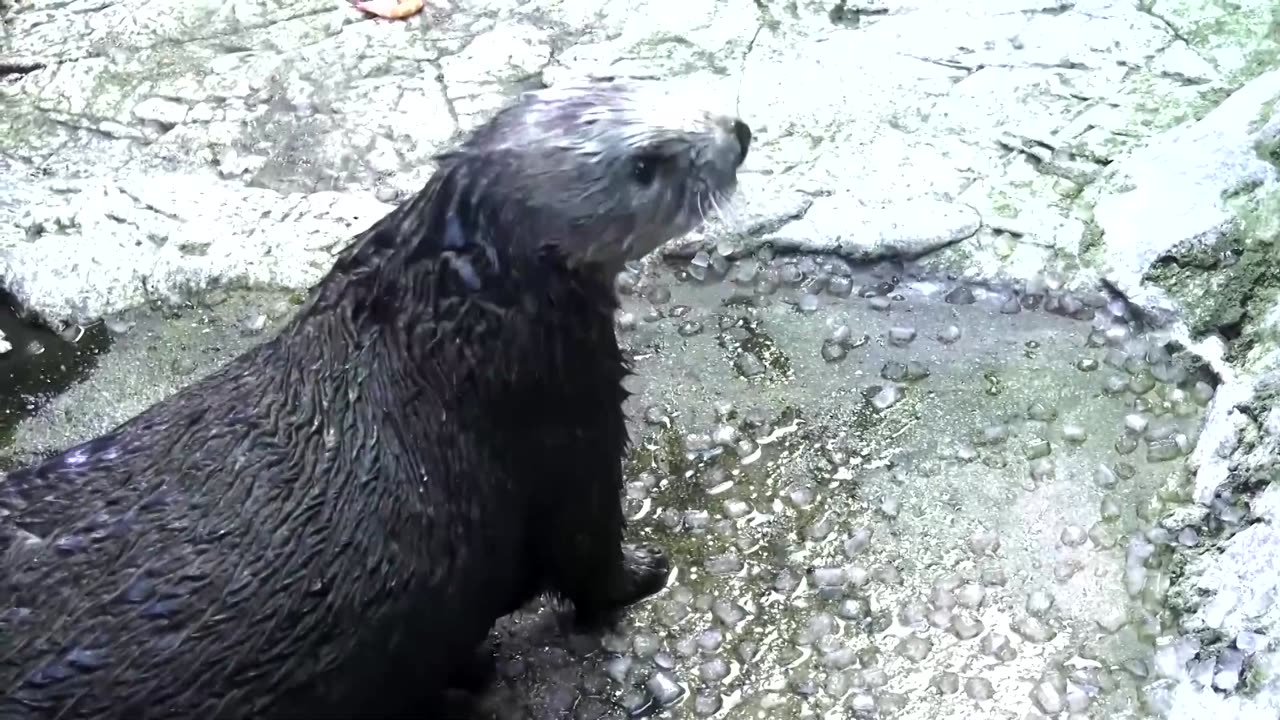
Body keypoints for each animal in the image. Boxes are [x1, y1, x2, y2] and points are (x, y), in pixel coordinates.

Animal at [0, 79, 747, 717]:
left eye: (638, 83)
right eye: (646, 164)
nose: (737, 131)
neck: (445, 340)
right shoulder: (573, 428)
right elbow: (588, 557)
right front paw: (651, 571)